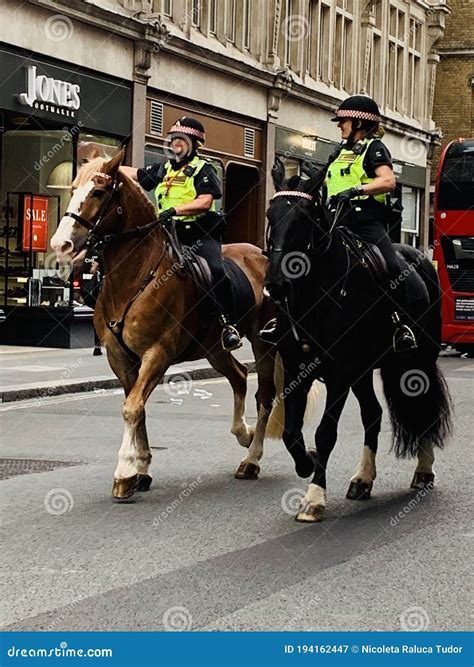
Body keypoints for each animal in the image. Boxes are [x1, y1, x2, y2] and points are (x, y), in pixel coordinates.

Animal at [51, 149, 286, 498]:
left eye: (98, 192)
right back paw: (242, 433)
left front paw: (125, 472)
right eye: (73, 187)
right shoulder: (119, 357)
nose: (61, 244)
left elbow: (132, 407)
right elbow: (136, 406)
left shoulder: (157, 353)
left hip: (263, 341)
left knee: (264, 395)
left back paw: (251, 459)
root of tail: (261, 252)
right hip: (214, 347)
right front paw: (141, 469)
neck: (135, 278)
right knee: (240, 376)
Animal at [266, 160, 452, 520]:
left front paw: (314, 499)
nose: (276, 284)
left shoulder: (339, 373)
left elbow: (325, 433)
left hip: (417, 359)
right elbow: (291, 432)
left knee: (423, 406)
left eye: (304, 218)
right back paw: (363, 479)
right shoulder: (297, 368)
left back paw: (423, 469)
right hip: (364, 371)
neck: (316, 295)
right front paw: (307, 462)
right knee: (373, 414)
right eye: (271, 214)